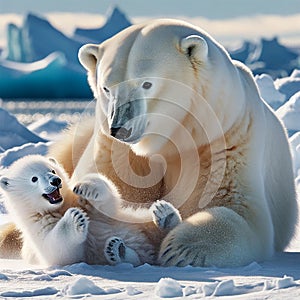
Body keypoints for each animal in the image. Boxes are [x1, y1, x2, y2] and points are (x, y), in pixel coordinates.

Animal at [52, 19, 298, 266]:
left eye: (147, 84)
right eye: (106, 87)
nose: (120, 129)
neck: (170, 140)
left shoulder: (225, 142)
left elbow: (243, 213)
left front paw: (179, 248)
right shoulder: (116, 151)